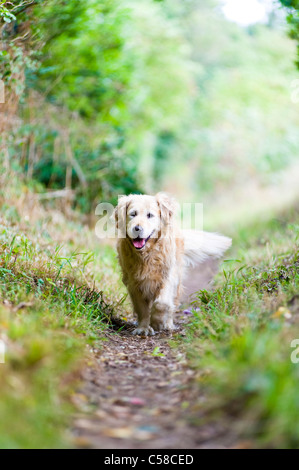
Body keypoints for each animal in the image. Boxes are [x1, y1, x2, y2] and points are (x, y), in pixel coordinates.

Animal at [115, 193, 232, 336]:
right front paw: (143, 328)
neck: (147, 256)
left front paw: (157, 322)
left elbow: (162, 303)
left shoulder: (168, 277)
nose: (137, 228)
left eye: (149, 215)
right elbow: (142, 308)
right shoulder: (134, 282)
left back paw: (168, 324)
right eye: (133, 214)